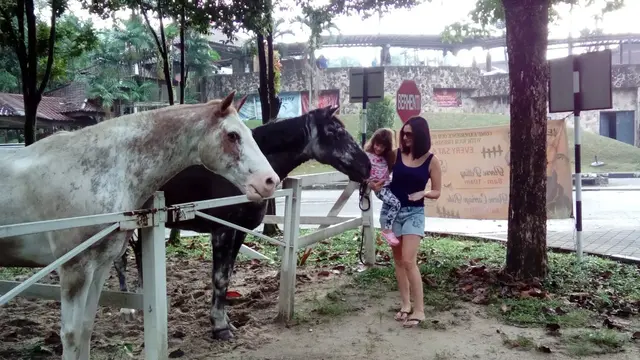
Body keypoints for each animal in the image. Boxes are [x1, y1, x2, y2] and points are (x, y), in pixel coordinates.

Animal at [0, 91, 280, 358]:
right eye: (233, 135)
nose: (270, 181)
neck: (95, 172)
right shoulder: (74, 269)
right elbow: (71, 335)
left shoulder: (99, 266)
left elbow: (87, 327)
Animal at [115, 105, 370, 340]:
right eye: (335, 131)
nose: (366, 166)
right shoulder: (223, 231)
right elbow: (219, 277)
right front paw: (220, 328)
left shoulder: (240, 233)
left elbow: (227, 275)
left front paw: (226, 322)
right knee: (121, 260)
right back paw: (127, 309)